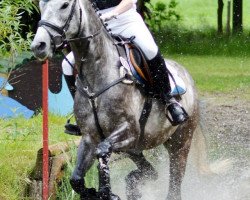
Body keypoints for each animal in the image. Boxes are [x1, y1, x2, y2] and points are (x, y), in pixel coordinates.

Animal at [31, 0, 199, 200]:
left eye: (64, 5)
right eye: (41, 6)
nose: (39, 46)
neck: (98, 74)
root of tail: (185, 73)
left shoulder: (130, 131)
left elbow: (102, 152)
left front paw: (106, 191)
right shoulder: (89, 137)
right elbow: (76, 179)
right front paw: (96, 192)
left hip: (180, 143)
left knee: (174, 184)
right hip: (135, 148)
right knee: (148, 171)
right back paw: (133, 182)